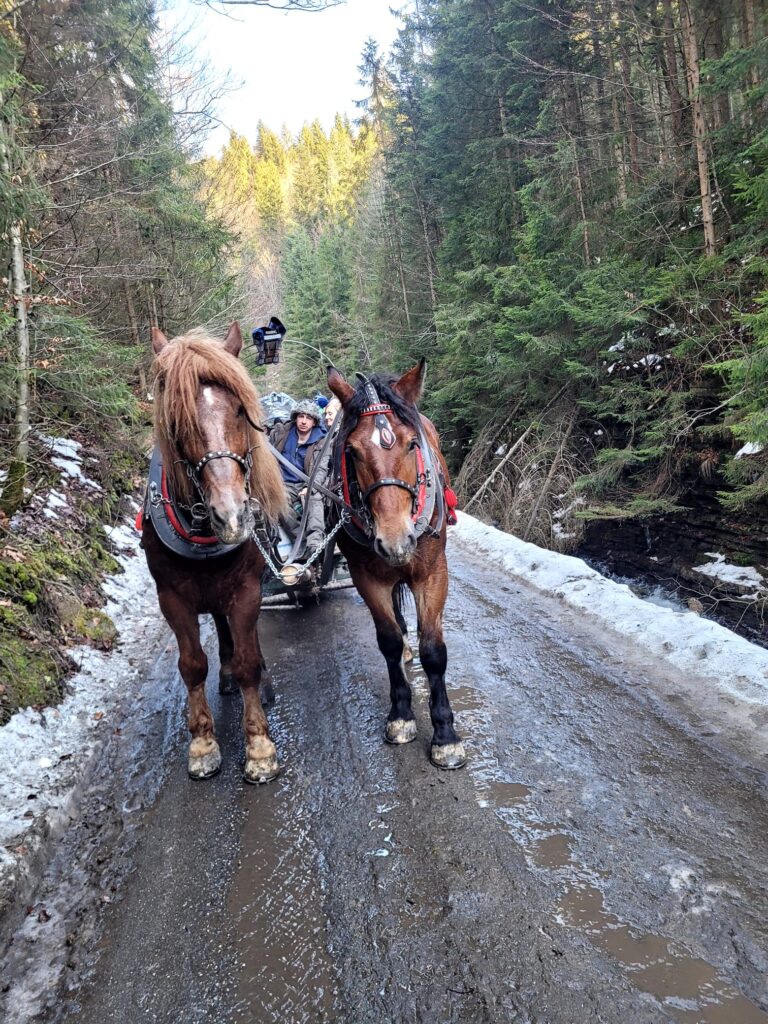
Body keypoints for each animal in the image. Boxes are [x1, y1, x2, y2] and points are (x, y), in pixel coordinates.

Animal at [139, 323, 287, 783]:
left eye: (239, 410)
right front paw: (203, 744)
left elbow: (248, 660)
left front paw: (259, 746)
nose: (232, 515)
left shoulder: (246, 591)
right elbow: (192, 665)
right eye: (176, 420)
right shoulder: (171, 597)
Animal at [327, 360, 466, 770]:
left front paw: (445, 735)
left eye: (411, 444)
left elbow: (434, 651)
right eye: (352, 451)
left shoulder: (433, 574)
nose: (395, 540)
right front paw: (402, 714)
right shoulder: (366, 577)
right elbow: (387, 640)